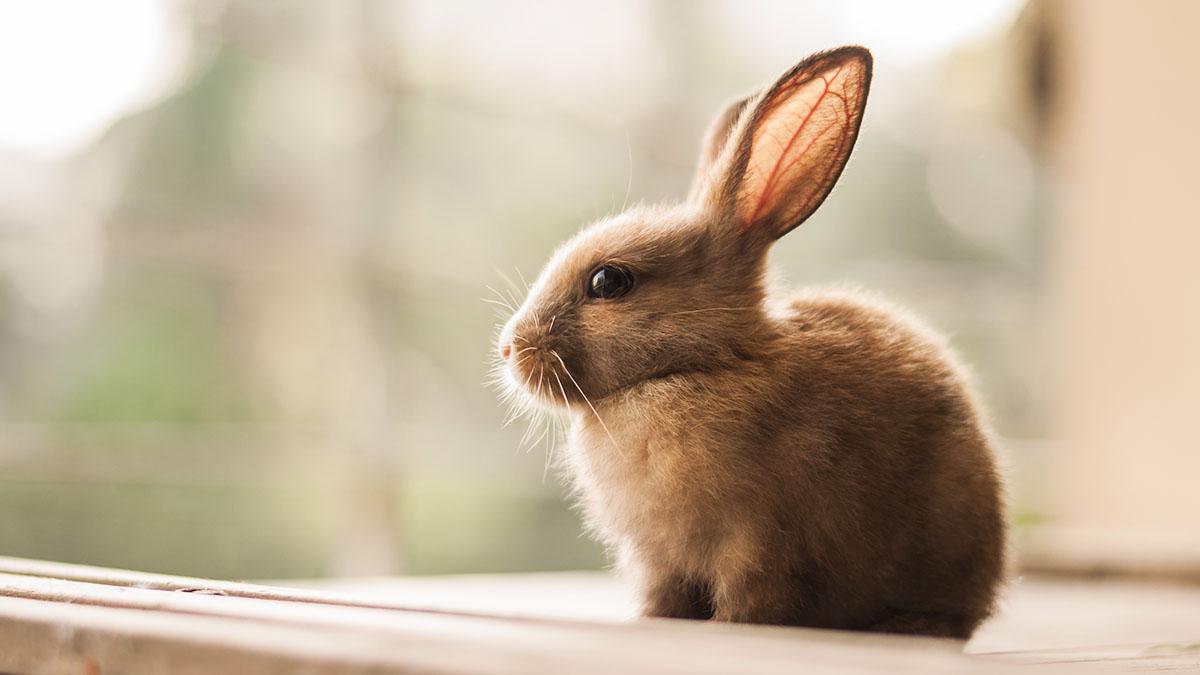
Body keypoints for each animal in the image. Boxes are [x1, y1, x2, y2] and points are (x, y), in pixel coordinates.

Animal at [492, 47, 1008, 634]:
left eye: (609, 281)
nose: (509, 349)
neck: (697, 365)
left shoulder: (760, 541)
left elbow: (752, 598)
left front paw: (729, 627)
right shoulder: (661, 560)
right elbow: (664, 596)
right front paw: (654, 622)